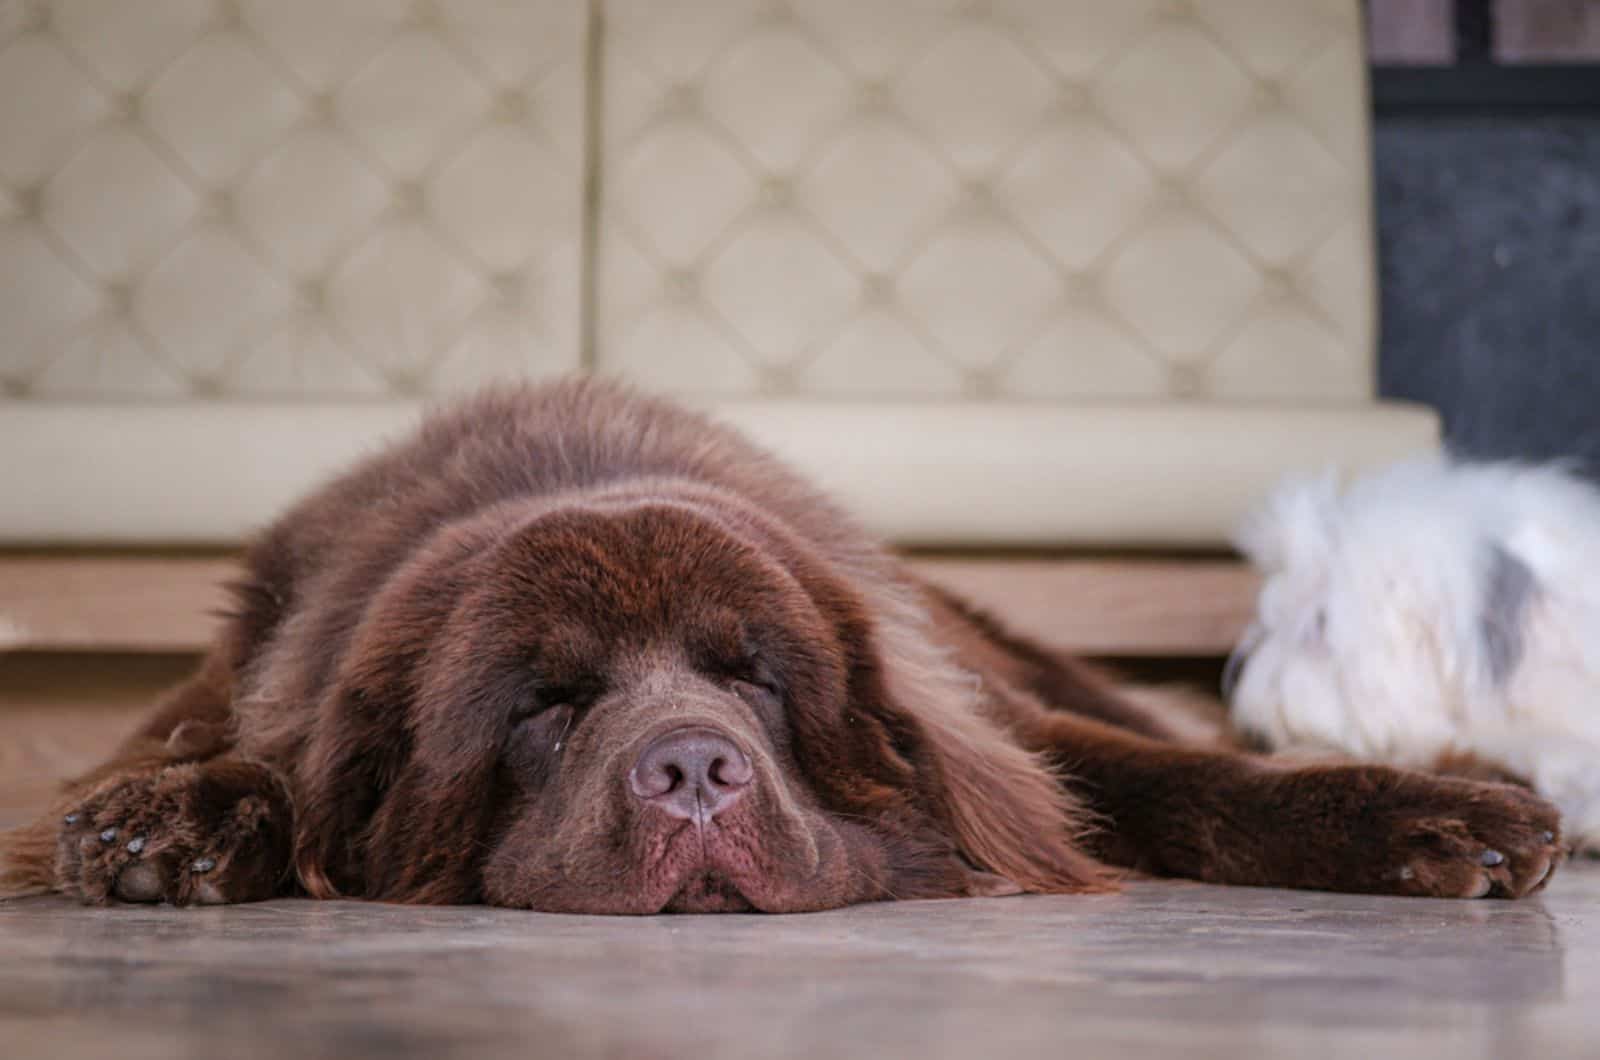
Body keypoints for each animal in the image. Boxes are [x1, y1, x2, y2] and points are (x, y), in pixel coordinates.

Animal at [0, 382, 1561, 915]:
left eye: (753, 674)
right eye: (544, 703)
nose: (694, 771)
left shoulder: (999, 727)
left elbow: (1189, 782)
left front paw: (1447, 820)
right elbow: (250, 759)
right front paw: (171, 822)